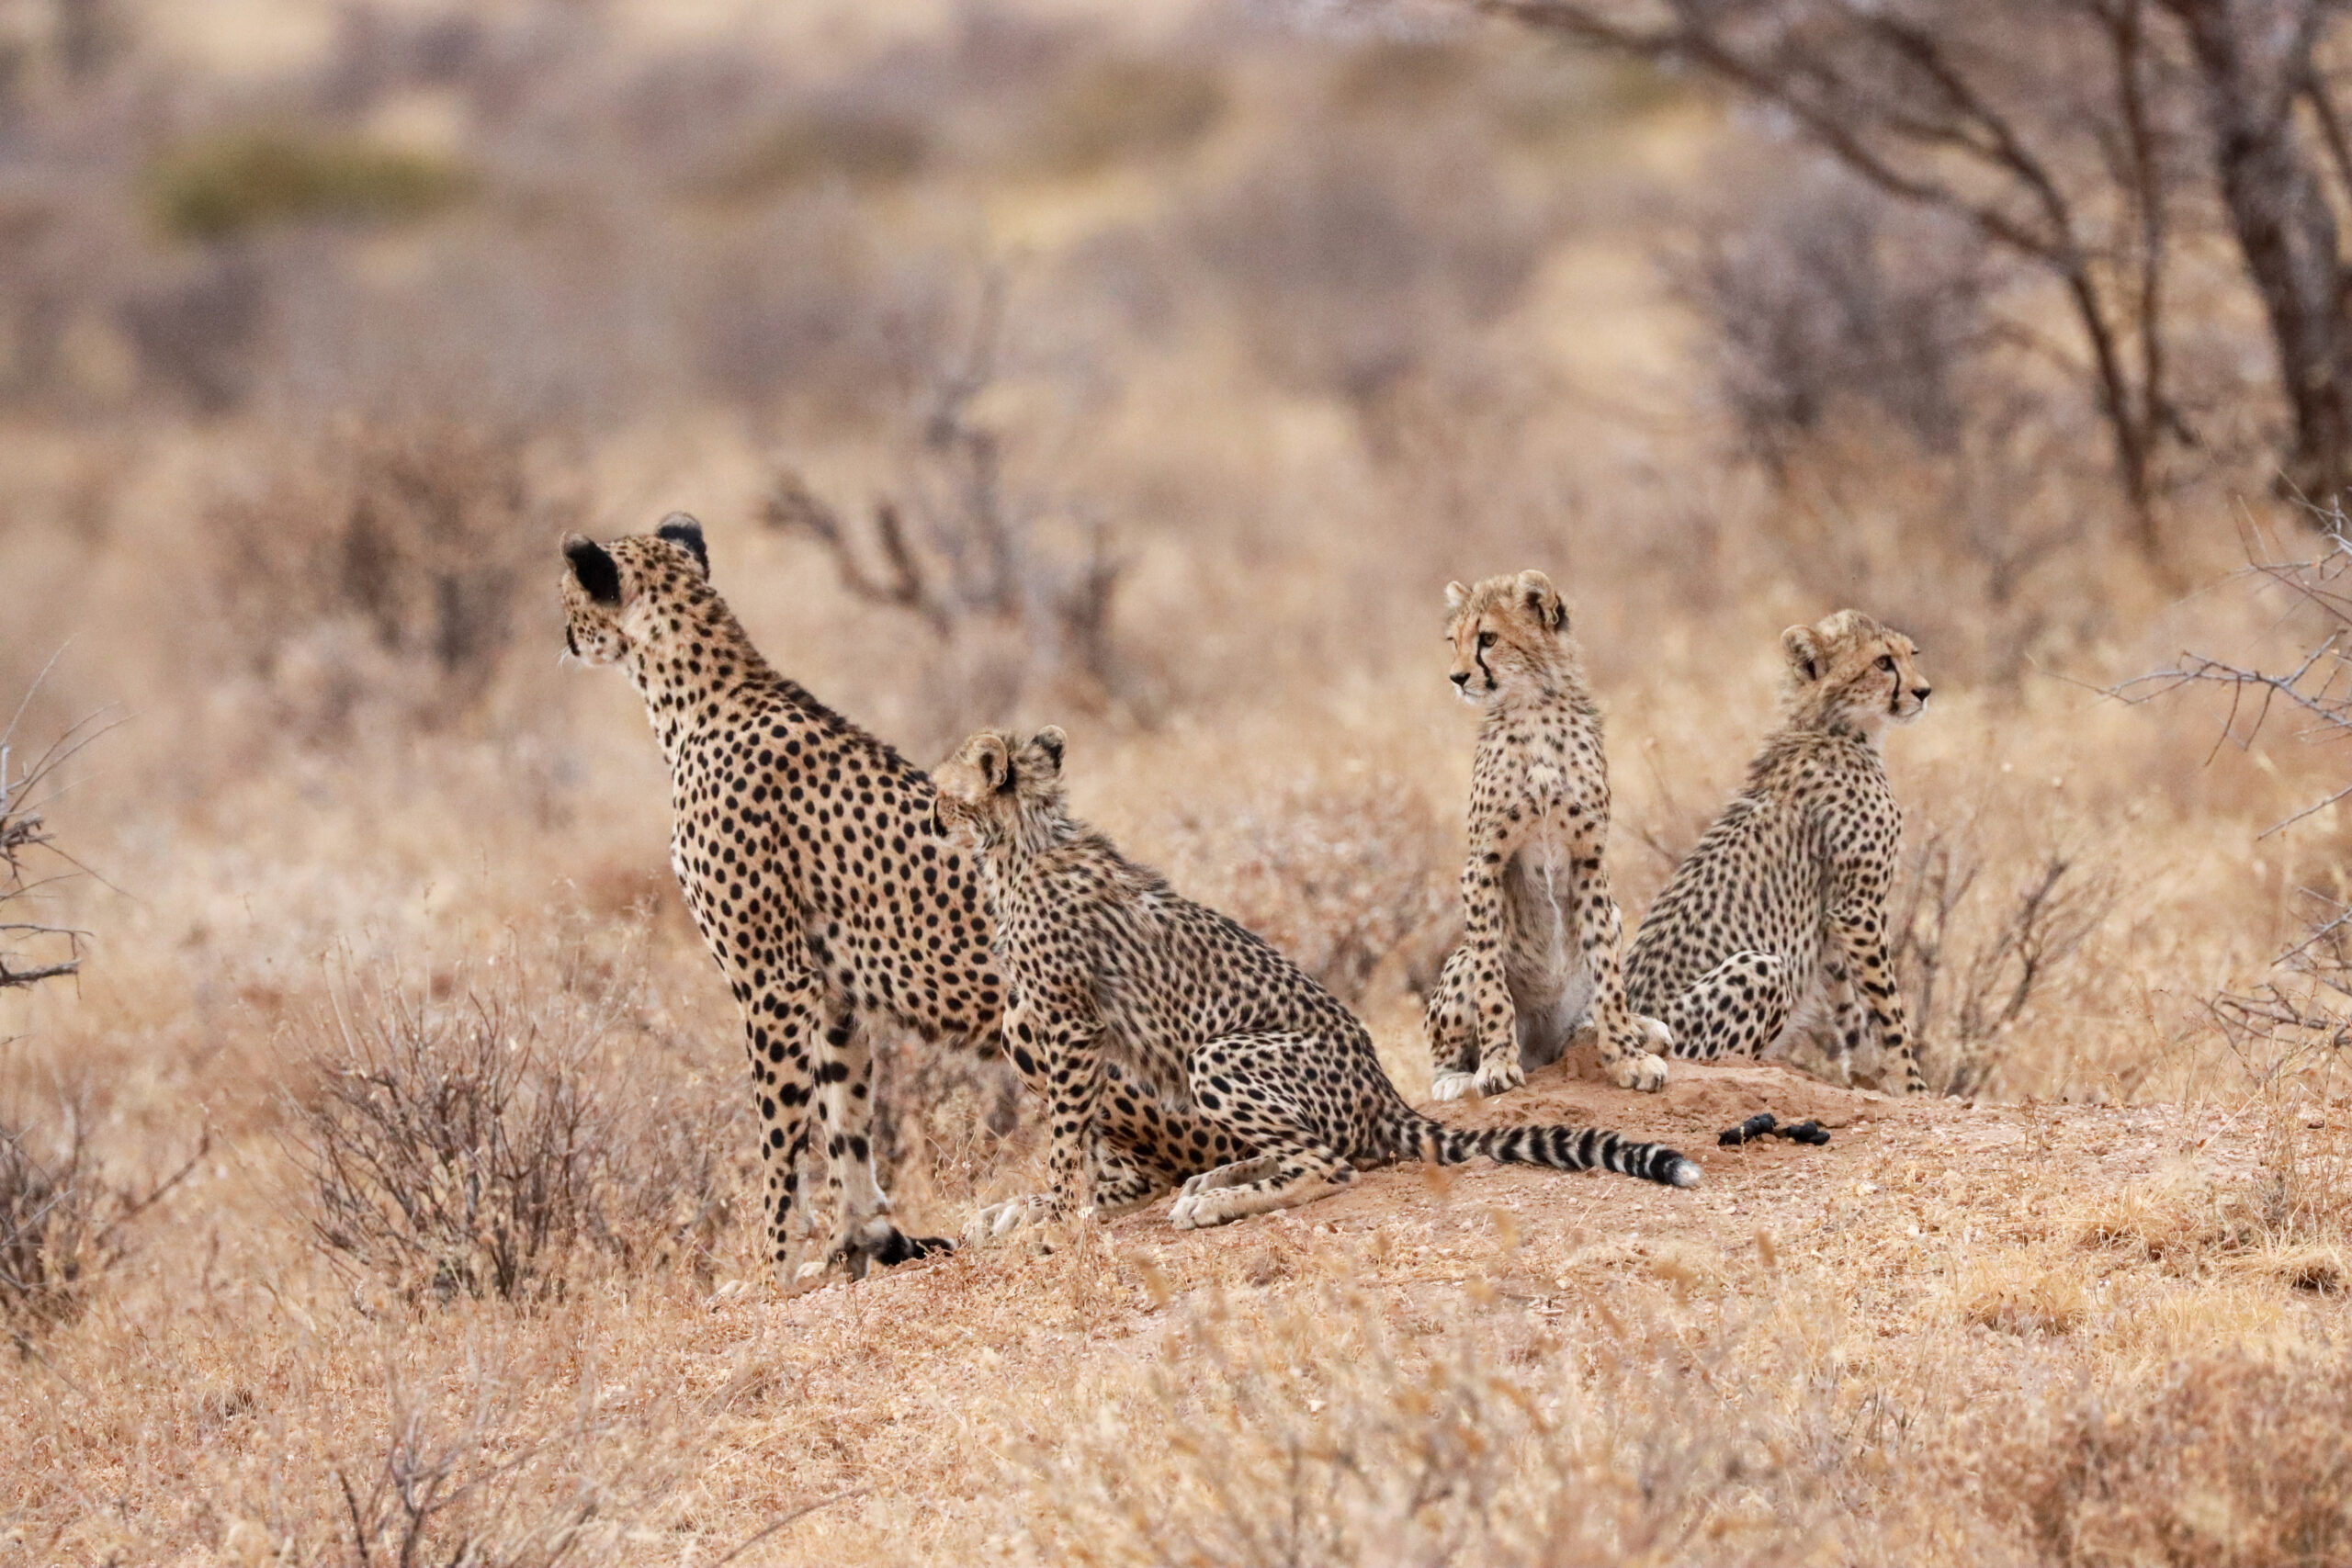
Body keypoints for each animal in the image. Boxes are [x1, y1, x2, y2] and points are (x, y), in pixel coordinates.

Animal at [931, 724, 1693, 1241]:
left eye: (943, 790)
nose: (935, 815)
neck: (1021, 841)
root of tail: (1382, 1085)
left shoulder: (1070, 1023)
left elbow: (1065, 1138)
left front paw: (1059, 1217)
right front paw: (1053, 1210)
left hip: (1219, 1054)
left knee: (1330, 1163)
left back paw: (1217, 1197)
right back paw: (1215, 1178)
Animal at [1411, 573, 1674, 1104]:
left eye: (1488, 638)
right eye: (1454, 641)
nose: (1456, 678)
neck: (1532, 707)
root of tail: (1544, 1049)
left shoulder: (1590, 860)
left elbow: (1608, 974)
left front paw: (1628, 1057)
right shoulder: (1483, 862)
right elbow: (1492, 986)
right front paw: (1496, 1065)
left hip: (1612, 920)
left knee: (1586, 1018)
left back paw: (1639, 1027)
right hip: (1460, 961)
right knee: (1449, 1036)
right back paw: (1457, 1077)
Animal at [1627, 606, 1938, 1100]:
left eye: (1912, 655)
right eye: (1883, 663)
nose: (1923, 692)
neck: (1830, 726)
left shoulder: (1833, 917)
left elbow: (1847, 1004)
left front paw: (1865, 1075)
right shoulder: (1858, 907)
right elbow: (1888, 1009)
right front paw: (1913, 1087)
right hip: (1760, 969)